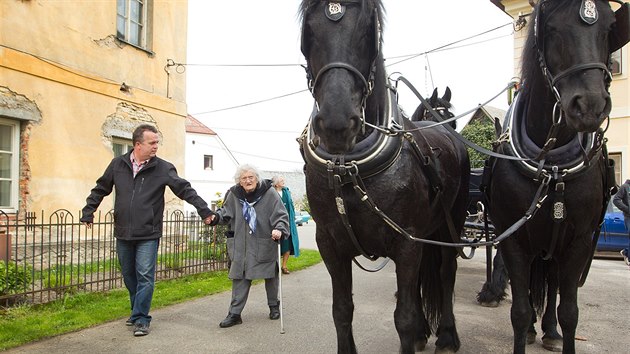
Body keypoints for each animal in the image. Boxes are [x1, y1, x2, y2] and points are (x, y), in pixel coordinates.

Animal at [300, 1, 470, 352]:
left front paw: (419, 330)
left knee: (447, 271)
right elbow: (341, 310)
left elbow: (403, 317)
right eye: (308, 30)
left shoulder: (407, 242)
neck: (348, 169)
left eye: (369, 30)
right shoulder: (330, 244)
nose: (337, 124)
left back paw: (447, 334)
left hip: (451, 226)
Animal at [486, 1, 624, 352]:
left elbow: (569, 311)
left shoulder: (578, 242)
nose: (589, 105)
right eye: (552, 28)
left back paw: (548, 330)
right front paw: (526, 328)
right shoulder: (513, 238)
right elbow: (520, 310)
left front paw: (557, 329)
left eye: (609, 28)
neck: (553, 167)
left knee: (551, 283)